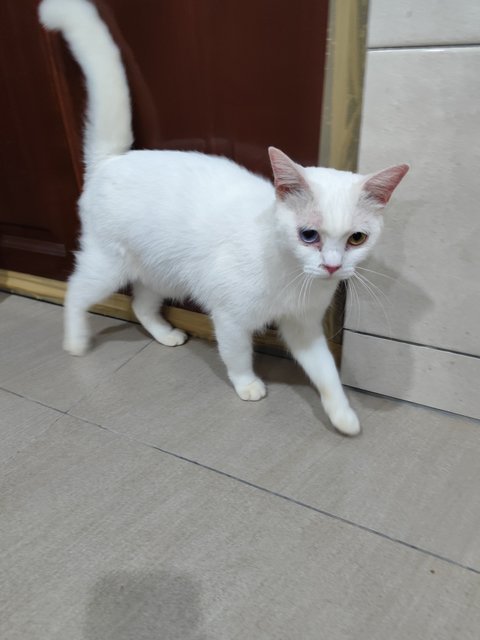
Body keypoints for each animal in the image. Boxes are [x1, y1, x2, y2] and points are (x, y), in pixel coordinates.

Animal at [38, 0, 408, 436]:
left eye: (356, 239)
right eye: (309, 235)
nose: (333, 267)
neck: (290, 276)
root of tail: (114, 159)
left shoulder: (303, 327)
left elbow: (326, 372)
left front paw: (342, 415)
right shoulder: (230, 317)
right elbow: (237, 354)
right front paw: (247, 385)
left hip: (164, 272)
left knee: (141, 304)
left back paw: (165, 334)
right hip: (107, 265)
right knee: (75, 290)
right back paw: (76, 341)